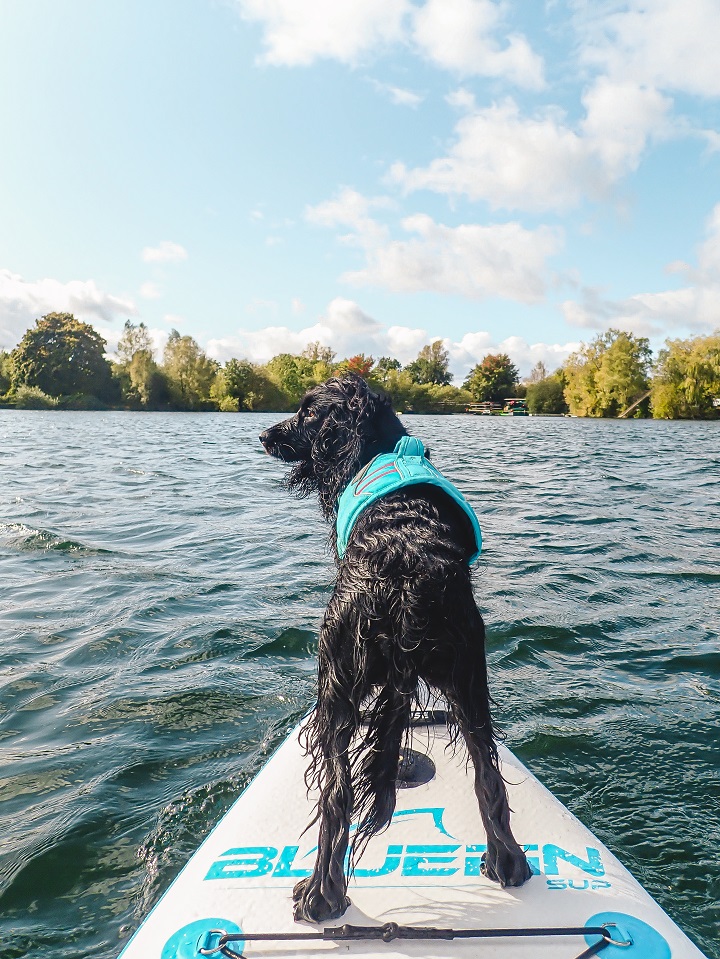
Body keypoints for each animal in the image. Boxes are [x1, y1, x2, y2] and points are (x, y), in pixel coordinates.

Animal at [258, 374, 528, 924]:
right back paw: (507, 860)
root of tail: (406, 568)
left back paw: (321, 895)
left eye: (306, 412)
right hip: (469, 677)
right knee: (487, 772)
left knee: (336, 792)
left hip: (335, 682)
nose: (264, 435)